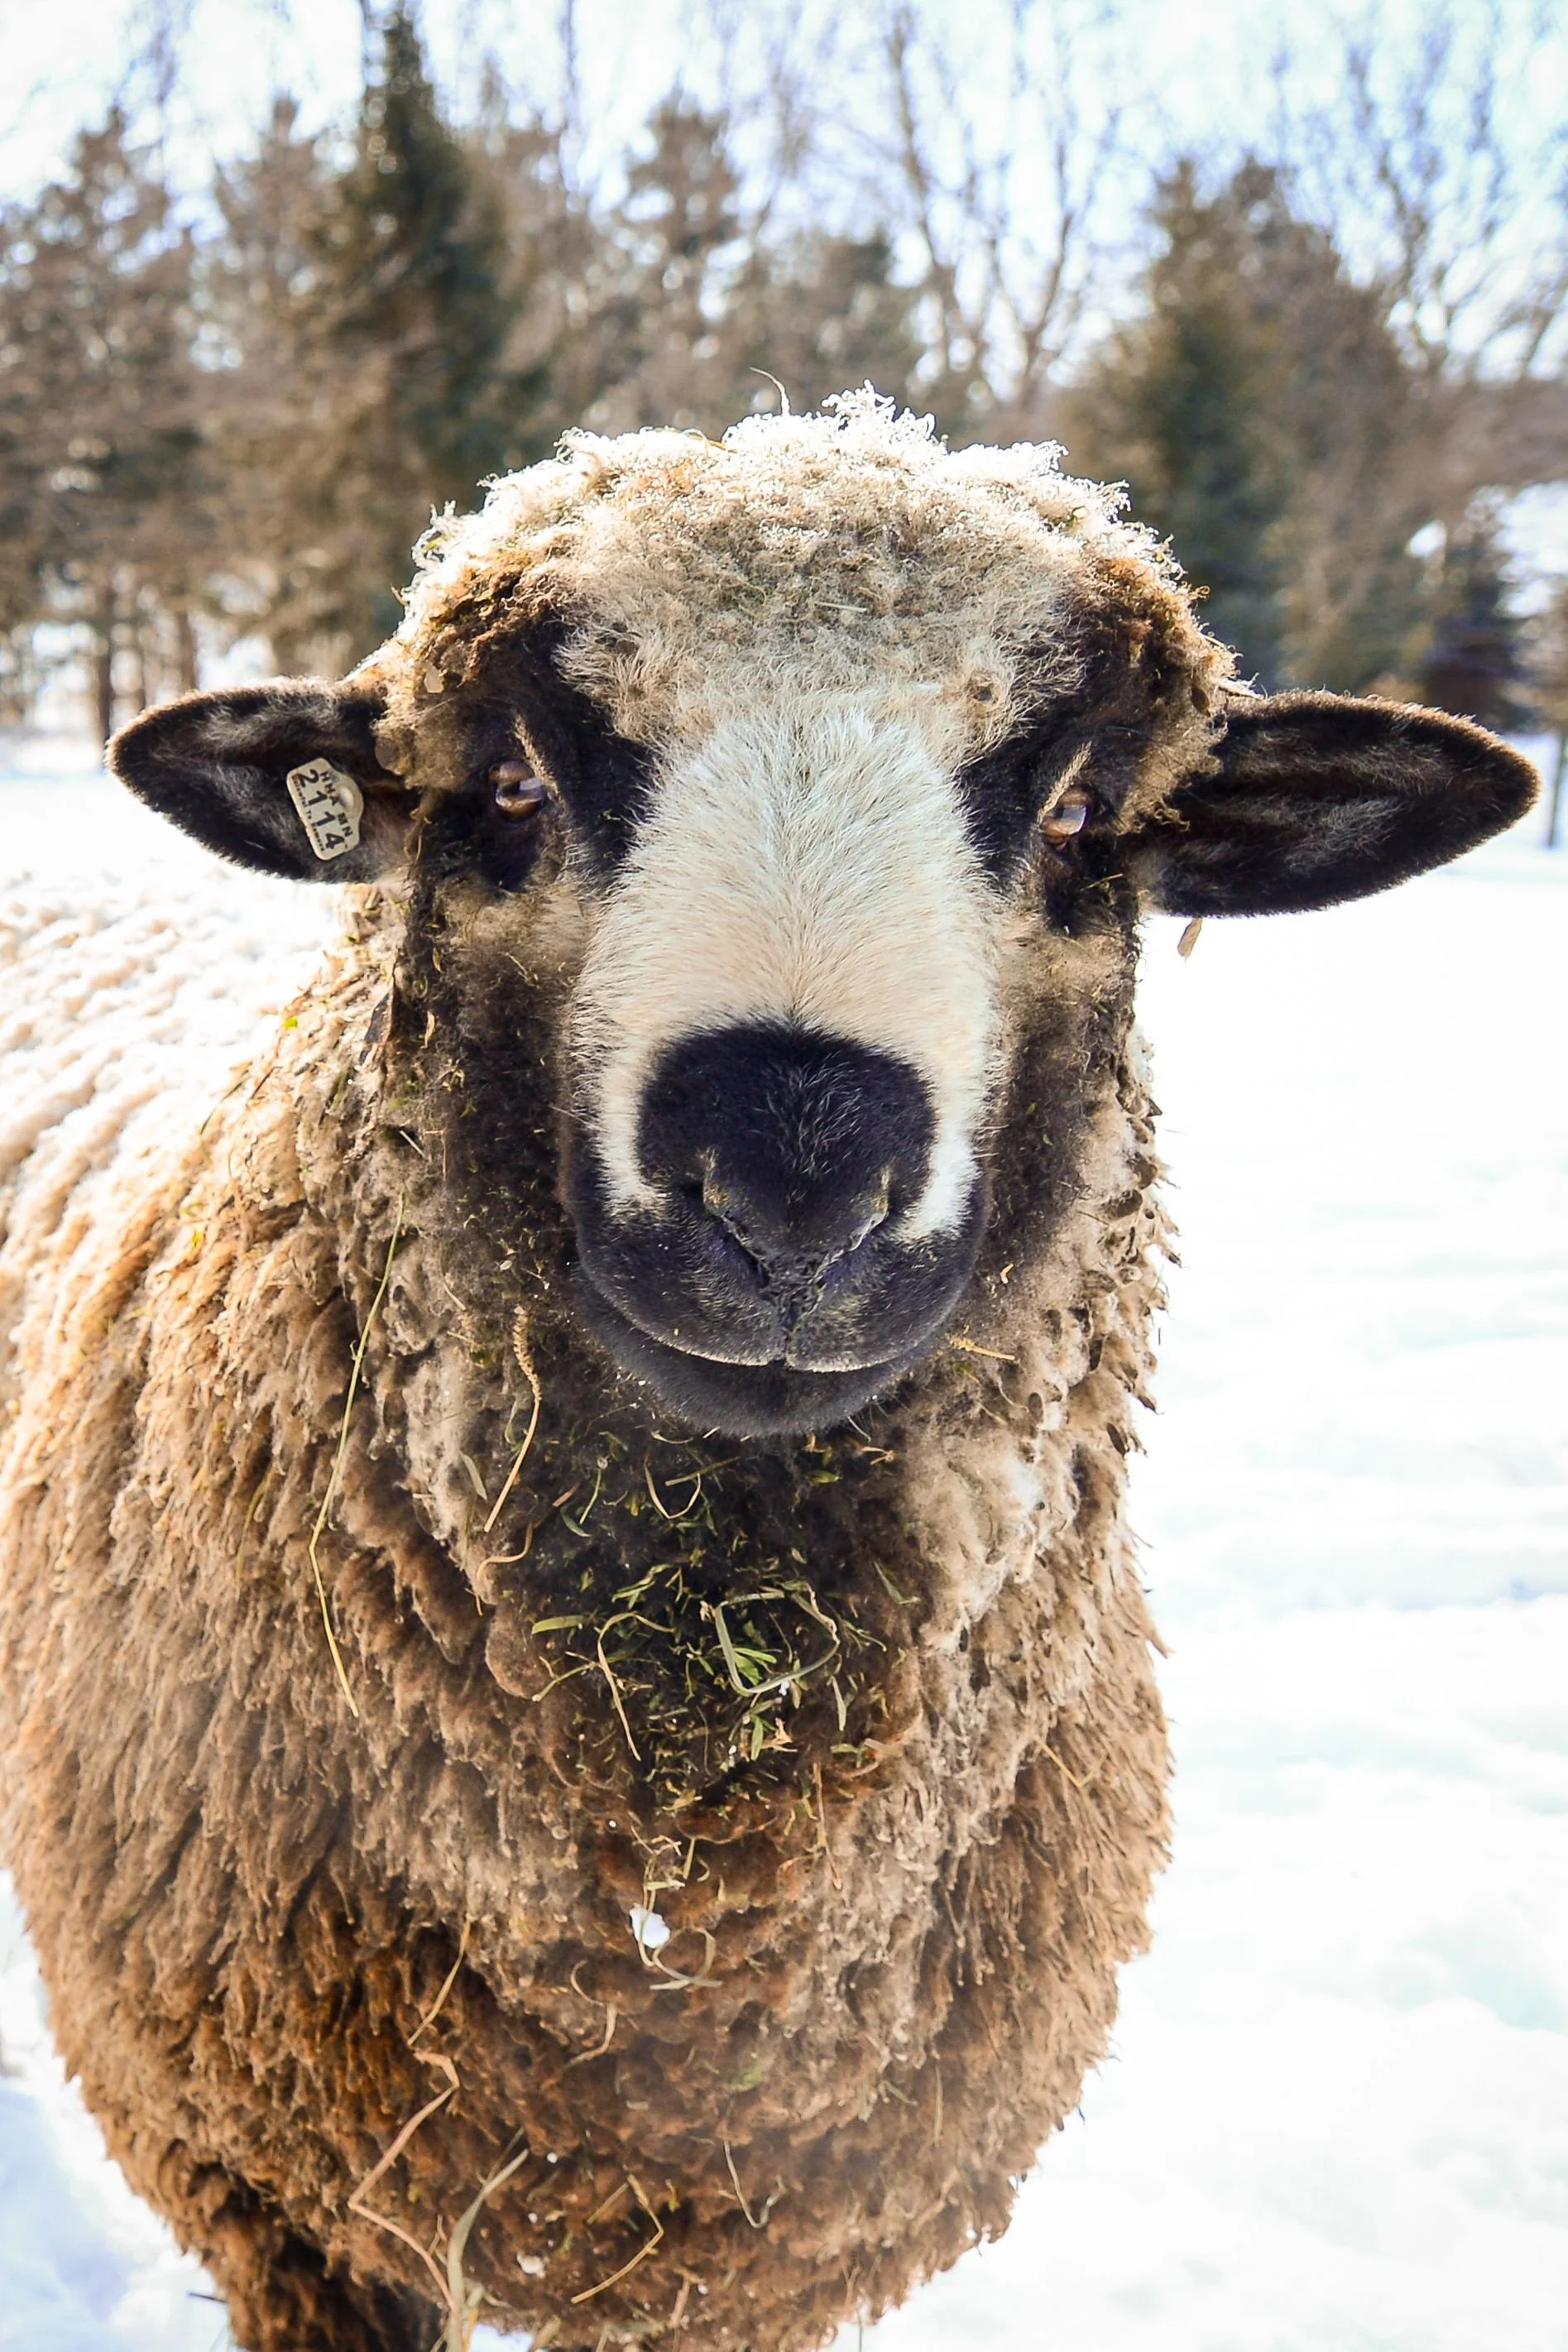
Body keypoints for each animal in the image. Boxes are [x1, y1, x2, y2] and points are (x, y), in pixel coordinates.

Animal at [0, 393, 1535, 2352]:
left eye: (1082, 815)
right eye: (512, 784)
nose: (794, 1168)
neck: (674, 1892)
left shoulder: (762, 2245)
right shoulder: (290, 2196)